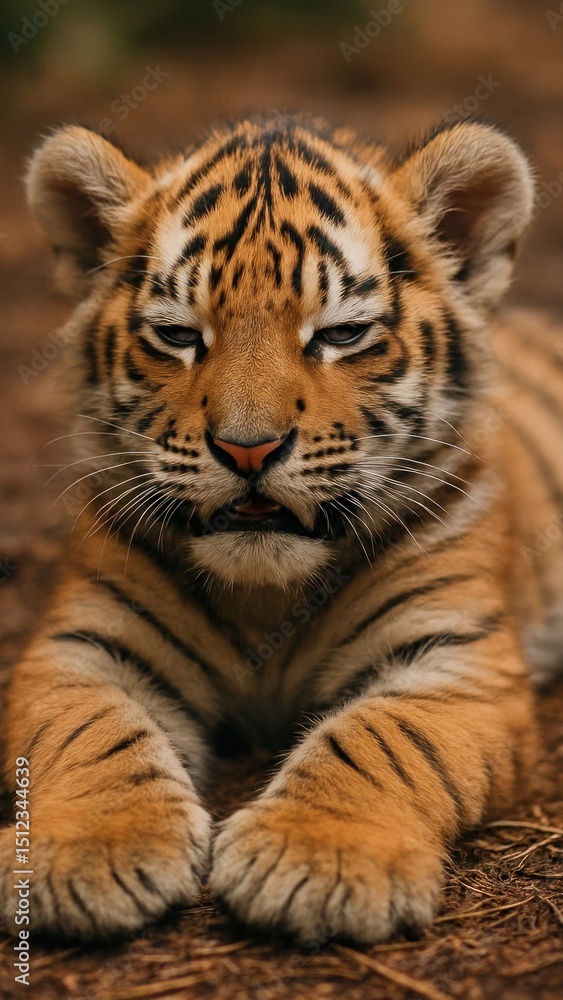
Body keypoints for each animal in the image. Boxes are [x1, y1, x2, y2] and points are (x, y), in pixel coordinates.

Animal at [1, 111, 561, 946]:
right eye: (177, 335)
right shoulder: (82, 646)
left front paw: (317, 861)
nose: (246, 449)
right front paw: (86, 853)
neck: (266, 592)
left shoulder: (456, 657)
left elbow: (382, 738)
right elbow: (88, 732)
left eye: (341, 334)